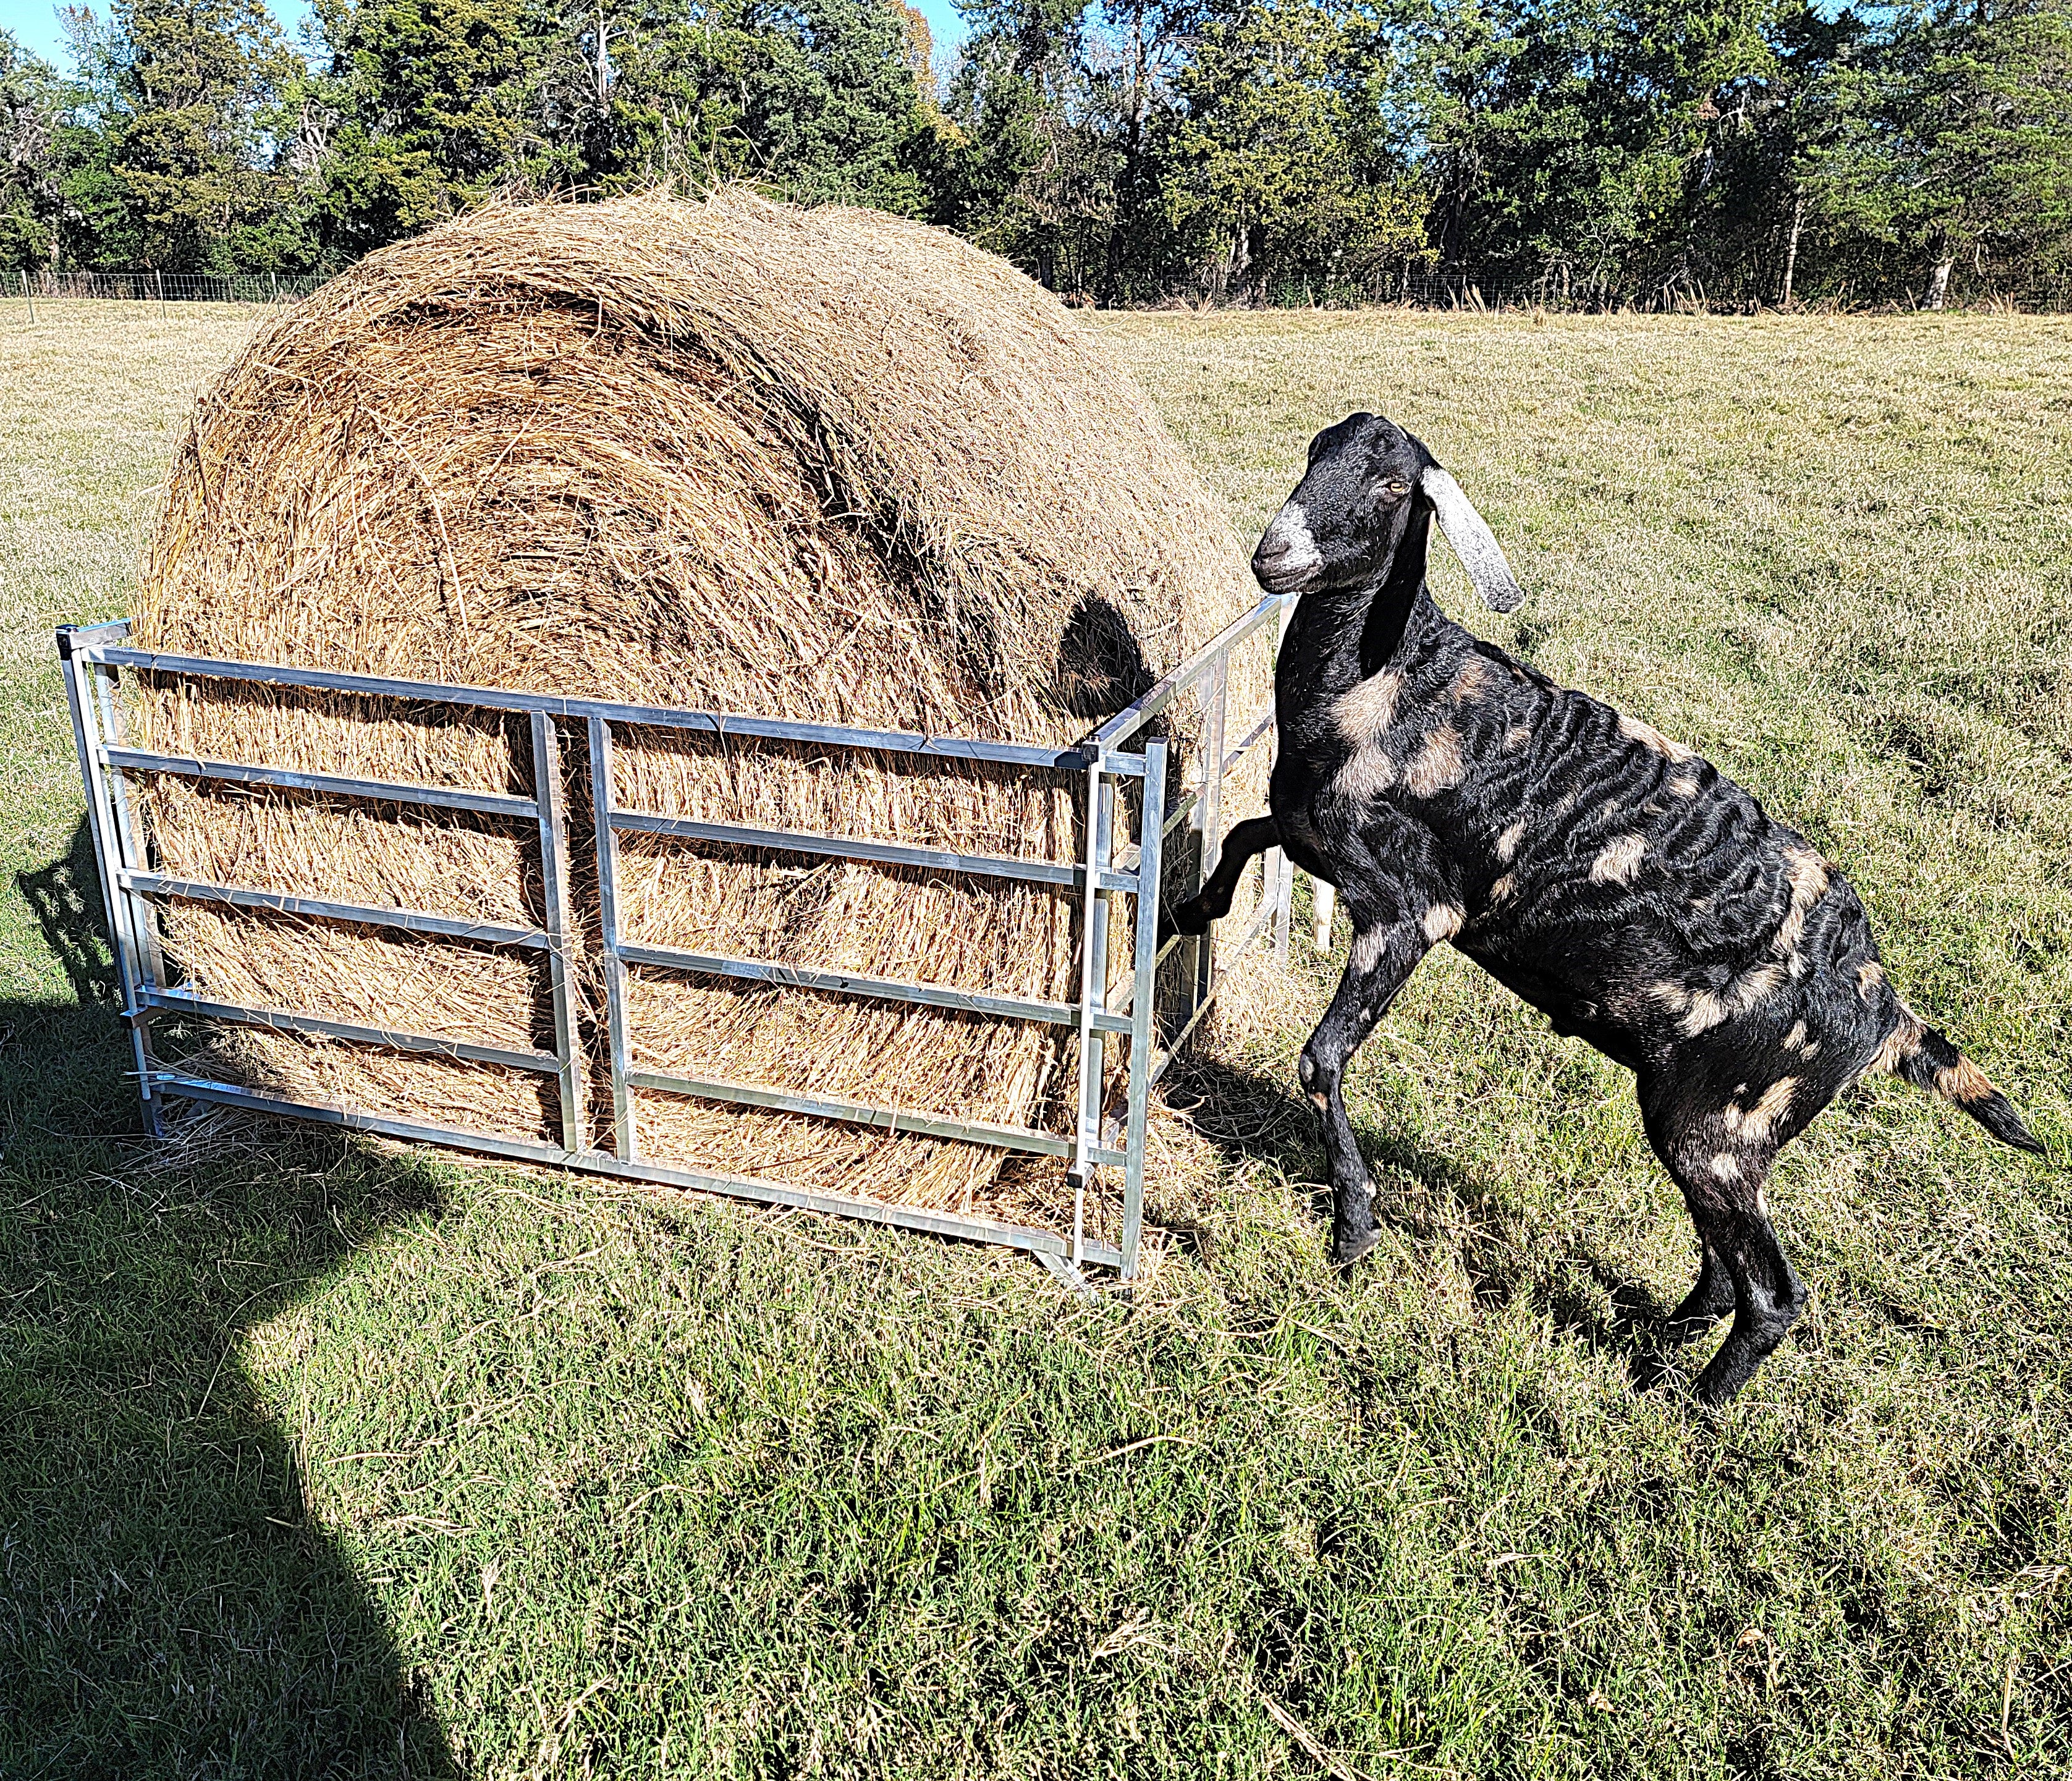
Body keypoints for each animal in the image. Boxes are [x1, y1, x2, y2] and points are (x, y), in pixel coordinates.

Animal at [1169, 411, 2045, 1405]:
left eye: (1394, 486)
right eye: (1314, 452)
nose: (1273, 554)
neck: (1386, 680)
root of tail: (1885, 1008)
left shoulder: (1411, 909)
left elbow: (1319, 1060)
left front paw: (1352, 1226)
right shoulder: (1316, 837)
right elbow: (1244, 832)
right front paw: (1191, 911)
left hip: (1717, 1123)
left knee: (1773, 1290)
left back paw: (1693, 1406)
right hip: (1731, 1128)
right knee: (1725, 1257)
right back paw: (1668, 1335)